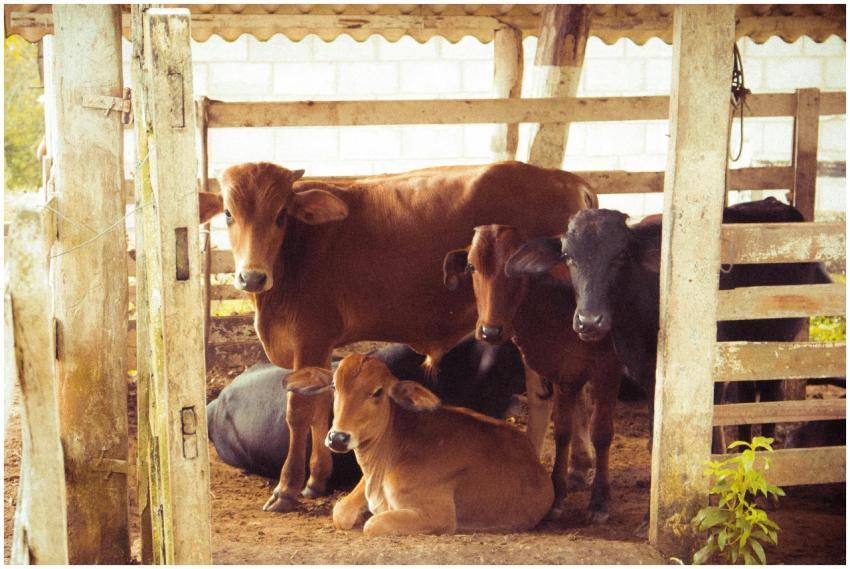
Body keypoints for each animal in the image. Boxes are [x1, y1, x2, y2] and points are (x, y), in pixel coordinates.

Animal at [282, 354, 554, 536]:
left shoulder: (438, 514)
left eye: (378, 392)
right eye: (334, 386)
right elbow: (340, 512)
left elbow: (374, 524)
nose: (338, 437)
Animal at [443, 225, 623, 523]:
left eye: (515, 268)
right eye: (471, 266)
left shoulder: (607, 370)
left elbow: (601, 432)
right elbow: (562, 431)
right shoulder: (564, 373)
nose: (490, 331)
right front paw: (557, 496)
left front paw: (599, 502)